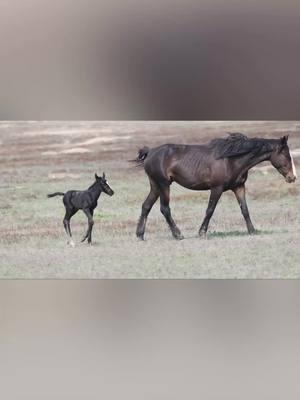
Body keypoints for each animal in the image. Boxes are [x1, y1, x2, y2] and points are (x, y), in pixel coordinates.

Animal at [135, 134, 296, 241]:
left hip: (155, 186)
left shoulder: (239, 187)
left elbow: (244, 209)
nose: (292, 177)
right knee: (165, 209)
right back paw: (178, 234)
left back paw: (140, 235)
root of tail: (150, 152)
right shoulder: (216, 188)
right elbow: (210, 210)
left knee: (146, 206)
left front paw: (252, 231)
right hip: (164, 185)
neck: (231, 160)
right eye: (286, 155)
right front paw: (201, 233)